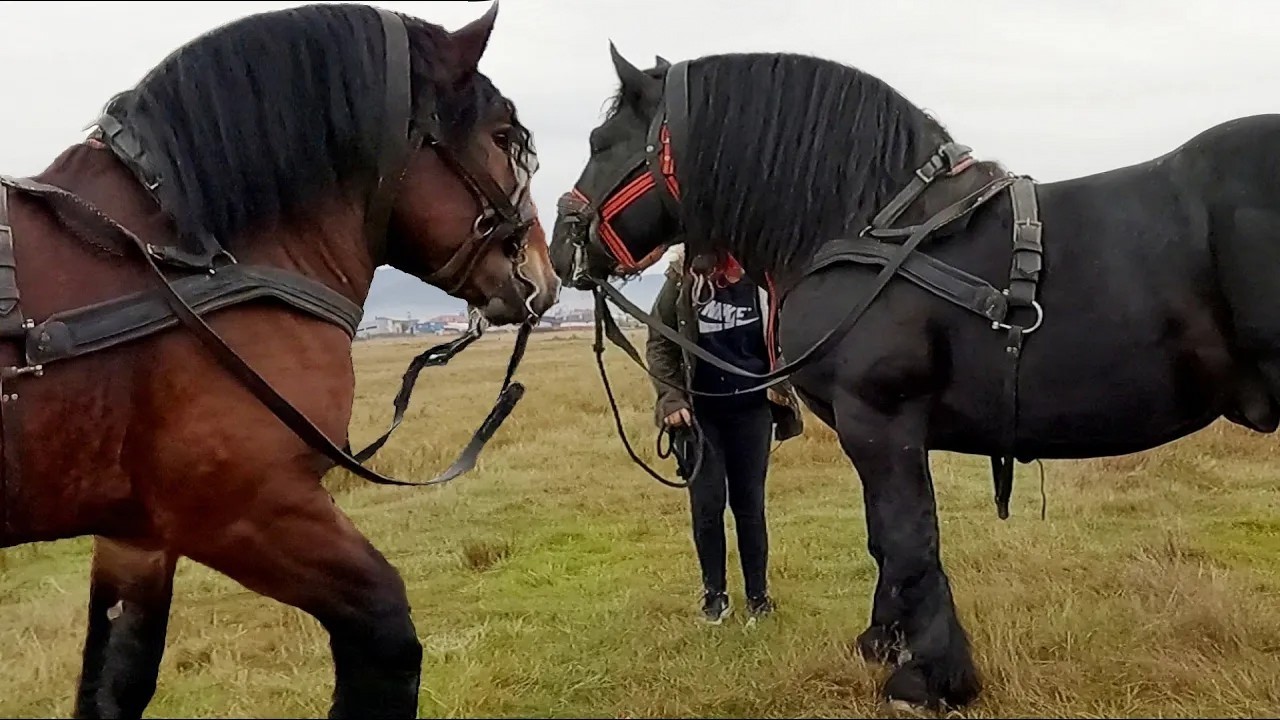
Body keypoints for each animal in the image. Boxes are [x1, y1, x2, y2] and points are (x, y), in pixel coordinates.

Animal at [0, 3, 558, 718]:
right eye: (504, 136)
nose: (544, 275)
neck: (189, 265)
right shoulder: (250, 511)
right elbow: (388, 638)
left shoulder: (138, 539)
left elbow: (113, 687)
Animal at [549, 44, 1280, 713]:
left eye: (601, 142)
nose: (558, 246)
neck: (864, 229)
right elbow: (885, 541)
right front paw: (885, 642)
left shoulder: (880, 421)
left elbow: (908, 538)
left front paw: (929, 678)